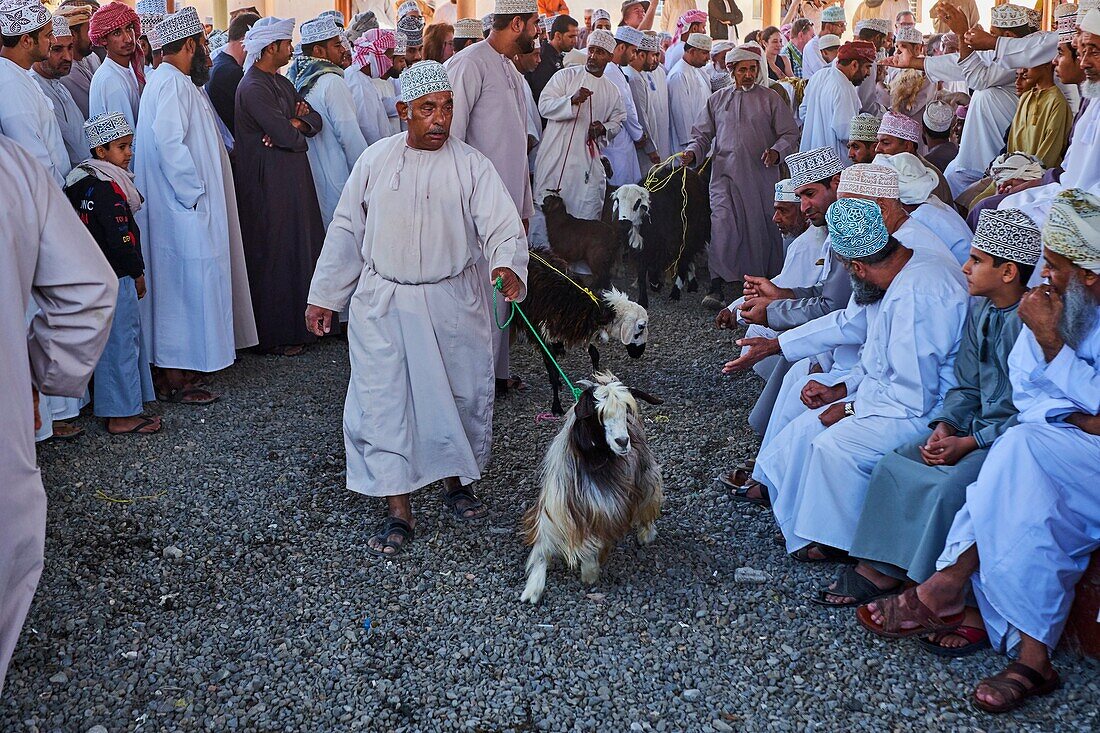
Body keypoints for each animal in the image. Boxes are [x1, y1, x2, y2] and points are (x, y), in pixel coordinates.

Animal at [519, 248, 646, 413]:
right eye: (641, 327)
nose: (639, 353)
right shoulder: (542, 333)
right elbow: (553, 369)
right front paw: (556, 405)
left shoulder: (577, 331)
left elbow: (594, 353)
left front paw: (598, 378)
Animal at [521, 374, 664, 603]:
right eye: (600, 414)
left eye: (625, 410)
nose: (622, 441)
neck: (596, 462)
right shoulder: (560, 508)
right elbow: (543, 549)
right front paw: (532, 589)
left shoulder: (606, 508)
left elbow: (593, 544)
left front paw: (589, 572)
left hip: (646, 474)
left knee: (647, 500)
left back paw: (646, 534)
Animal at [611, 161, 712, 305]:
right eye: (618, 201)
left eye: (637, 203)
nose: (623, 223)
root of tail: (695, 173)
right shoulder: (643, 249)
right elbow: (642, 272)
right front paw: (643, 299)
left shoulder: (671, 243)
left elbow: (659, 266)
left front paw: (658, 285)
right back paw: (691, 284)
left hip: (690, 234)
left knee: (685, 259)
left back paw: (676, 291)